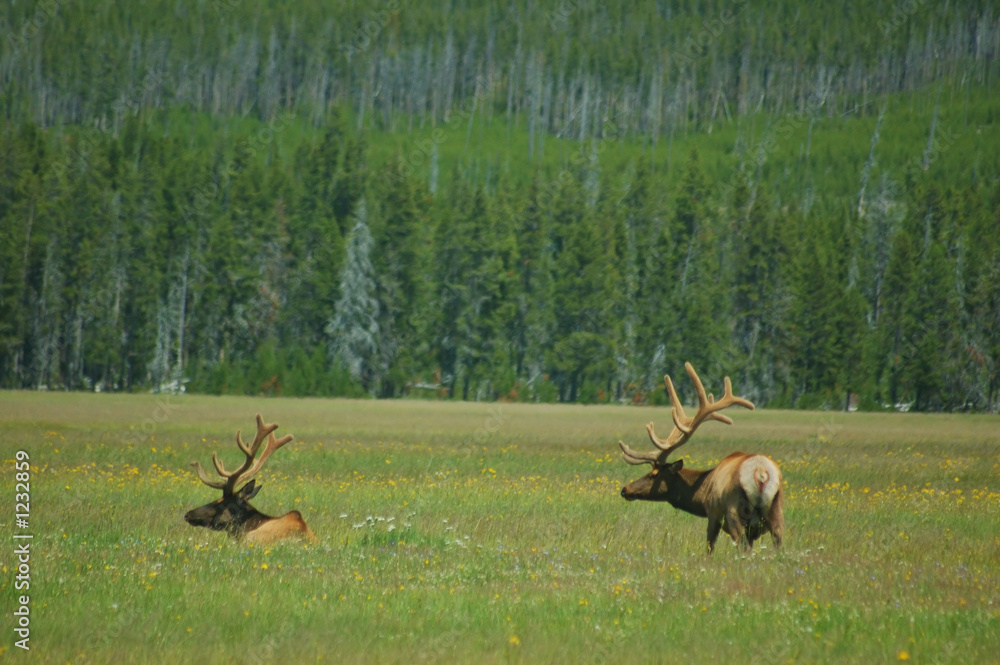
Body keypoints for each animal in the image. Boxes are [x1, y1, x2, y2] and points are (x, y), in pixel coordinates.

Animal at [619, 362, 783, 554]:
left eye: (653, 474)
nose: (625, 489)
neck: (702, 493)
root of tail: (760, 473)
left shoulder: (712, 513)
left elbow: (709, 548)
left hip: (734, 511)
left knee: (742, 547)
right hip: (777, 512)